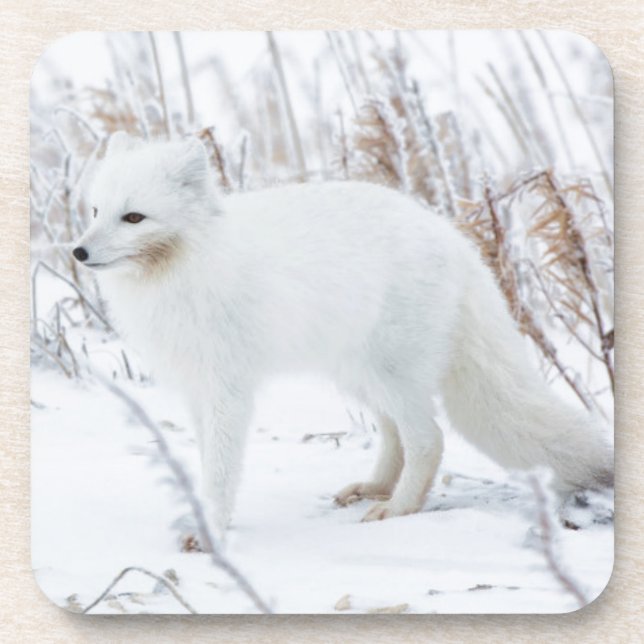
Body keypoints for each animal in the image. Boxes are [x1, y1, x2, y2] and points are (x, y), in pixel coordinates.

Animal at [73, 131, 613, 538]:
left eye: (134, 217)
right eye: (96, 211)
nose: (78, 252)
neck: (187, 267)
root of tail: (453, 238)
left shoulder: (230, 389)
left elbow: (223, 468)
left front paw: (212, 530)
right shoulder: (195, 388)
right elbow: (208, 457)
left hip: (392, 372)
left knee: (428, 439)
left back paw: (397, 509)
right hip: (359, 375)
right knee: (395, 435)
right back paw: (375, 489)